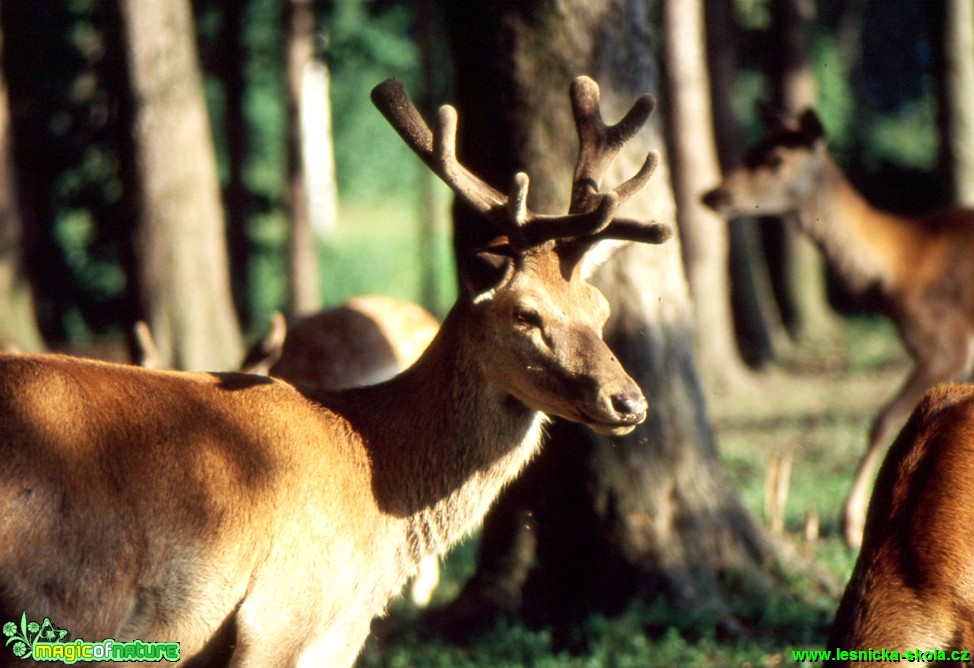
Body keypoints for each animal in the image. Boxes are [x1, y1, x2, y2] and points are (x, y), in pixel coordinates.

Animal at [704, 105, 974, 548]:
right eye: (750, 147)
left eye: (776, 159)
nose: (714, 194)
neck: (899, 269)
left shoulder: (947, 346)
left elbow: (881, 420)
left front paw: (850, 525)